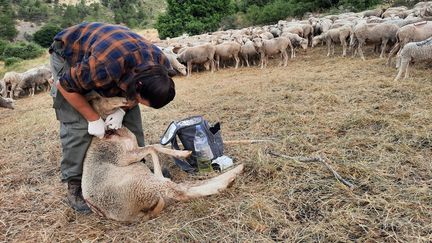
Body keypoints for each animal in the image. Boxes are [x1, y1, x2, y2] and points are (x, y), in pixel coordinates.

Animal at [81, 94, 243, 222]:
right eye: (98, 98)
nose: (125, 99)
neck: (112, 132)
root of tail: (136, 215)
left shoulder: (134, 150)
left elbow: (154, 146)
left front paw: (184, 153)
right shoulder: (123, 156)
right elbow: (152, 148)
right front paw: (184, 154)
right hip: (145, 186)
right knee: (180, 191)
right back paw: (231, 177)